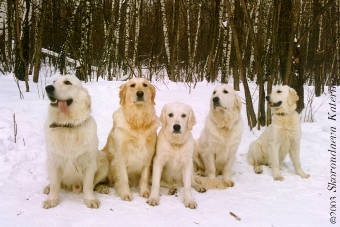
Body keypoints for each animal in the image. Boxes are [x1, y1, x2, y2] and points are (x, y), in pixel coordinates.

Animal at [42, 76, 108, 209]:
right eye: (54, 81)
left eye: (67, 82)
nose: (48, 88)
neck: (68, 125)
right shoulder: (53, 160)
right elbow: (55, 185)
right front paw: (51, 200)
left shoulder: (89, 162)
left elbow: (88, 185)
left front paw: (90, 199)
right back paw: (47, 188)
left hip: (103, 159)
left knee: (95, 183)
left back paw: (102, 187)